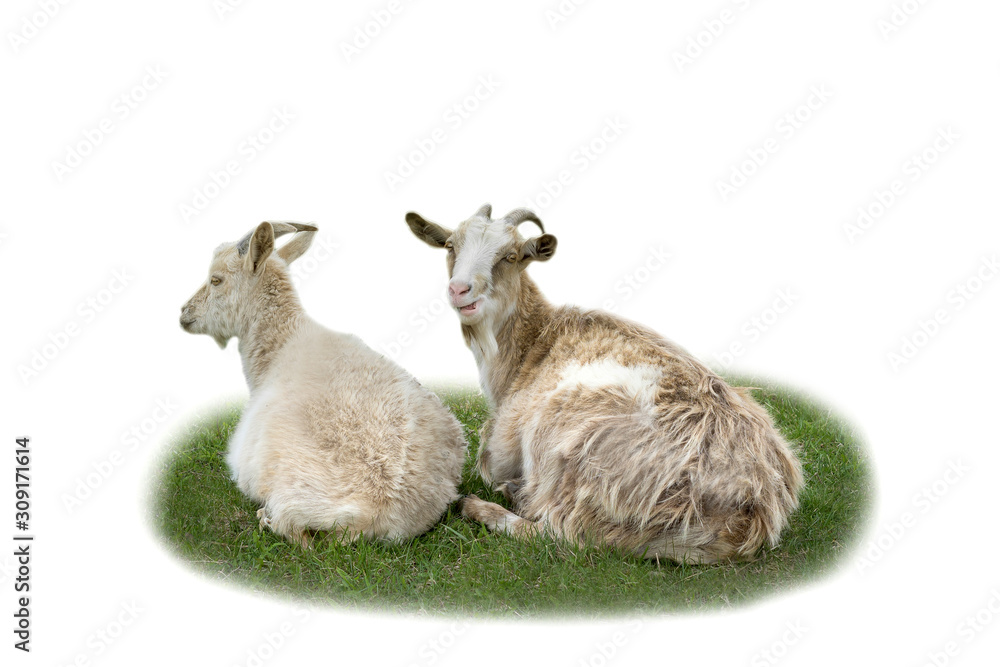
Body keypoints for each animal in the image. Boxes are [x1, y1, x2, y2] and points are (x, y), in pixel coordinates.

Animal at [180, 221, 467, 547]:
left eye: (216, 279)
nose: (184, 314)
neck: (283, 343)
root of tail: (375, 514)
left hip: (293, 494)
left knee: (295, 531)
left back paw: (266, 517)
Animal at [406, 204, 803, 563]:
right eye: (451, 246)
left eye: (511, 256)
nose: (460, 290)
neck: (534, 343)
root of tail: (747, 512)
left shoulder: (504, 440)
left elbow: (489, 467)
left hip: (574, 455)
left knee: (558, 532)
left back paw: (486, 505)